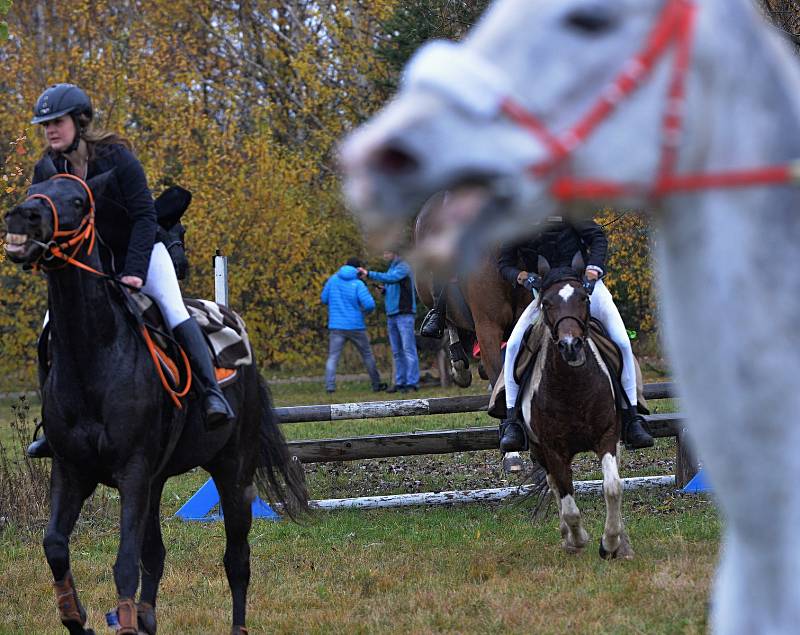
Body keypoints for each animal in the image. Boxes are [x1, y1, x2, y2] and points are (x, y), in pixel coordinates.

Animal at [2, 158, 310, 632]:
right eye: (35, 189)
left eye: (78, 201)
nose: (23, 218)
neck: (96, 356)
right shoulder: (73, 471)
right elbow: (55, 544)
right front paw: (76, 616)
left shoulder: (132, 471)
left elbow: (126, 563)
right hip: (157, 479)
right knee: (158, 555)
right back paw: (147, 616)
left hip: (233, 470)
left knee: (237, 559)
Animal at [520, 268, 636, 560]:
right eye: (546, 303)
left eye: (584, 298)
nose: (570, 345)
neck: (573, 387)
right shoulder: (552, 449)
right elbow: (568, 501)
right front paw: (578, 538)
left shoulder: (607, 437)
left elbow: (613, 487)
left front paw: (611, 543)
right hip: (539, 449)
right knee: (553, 484)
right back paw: (568, 538)